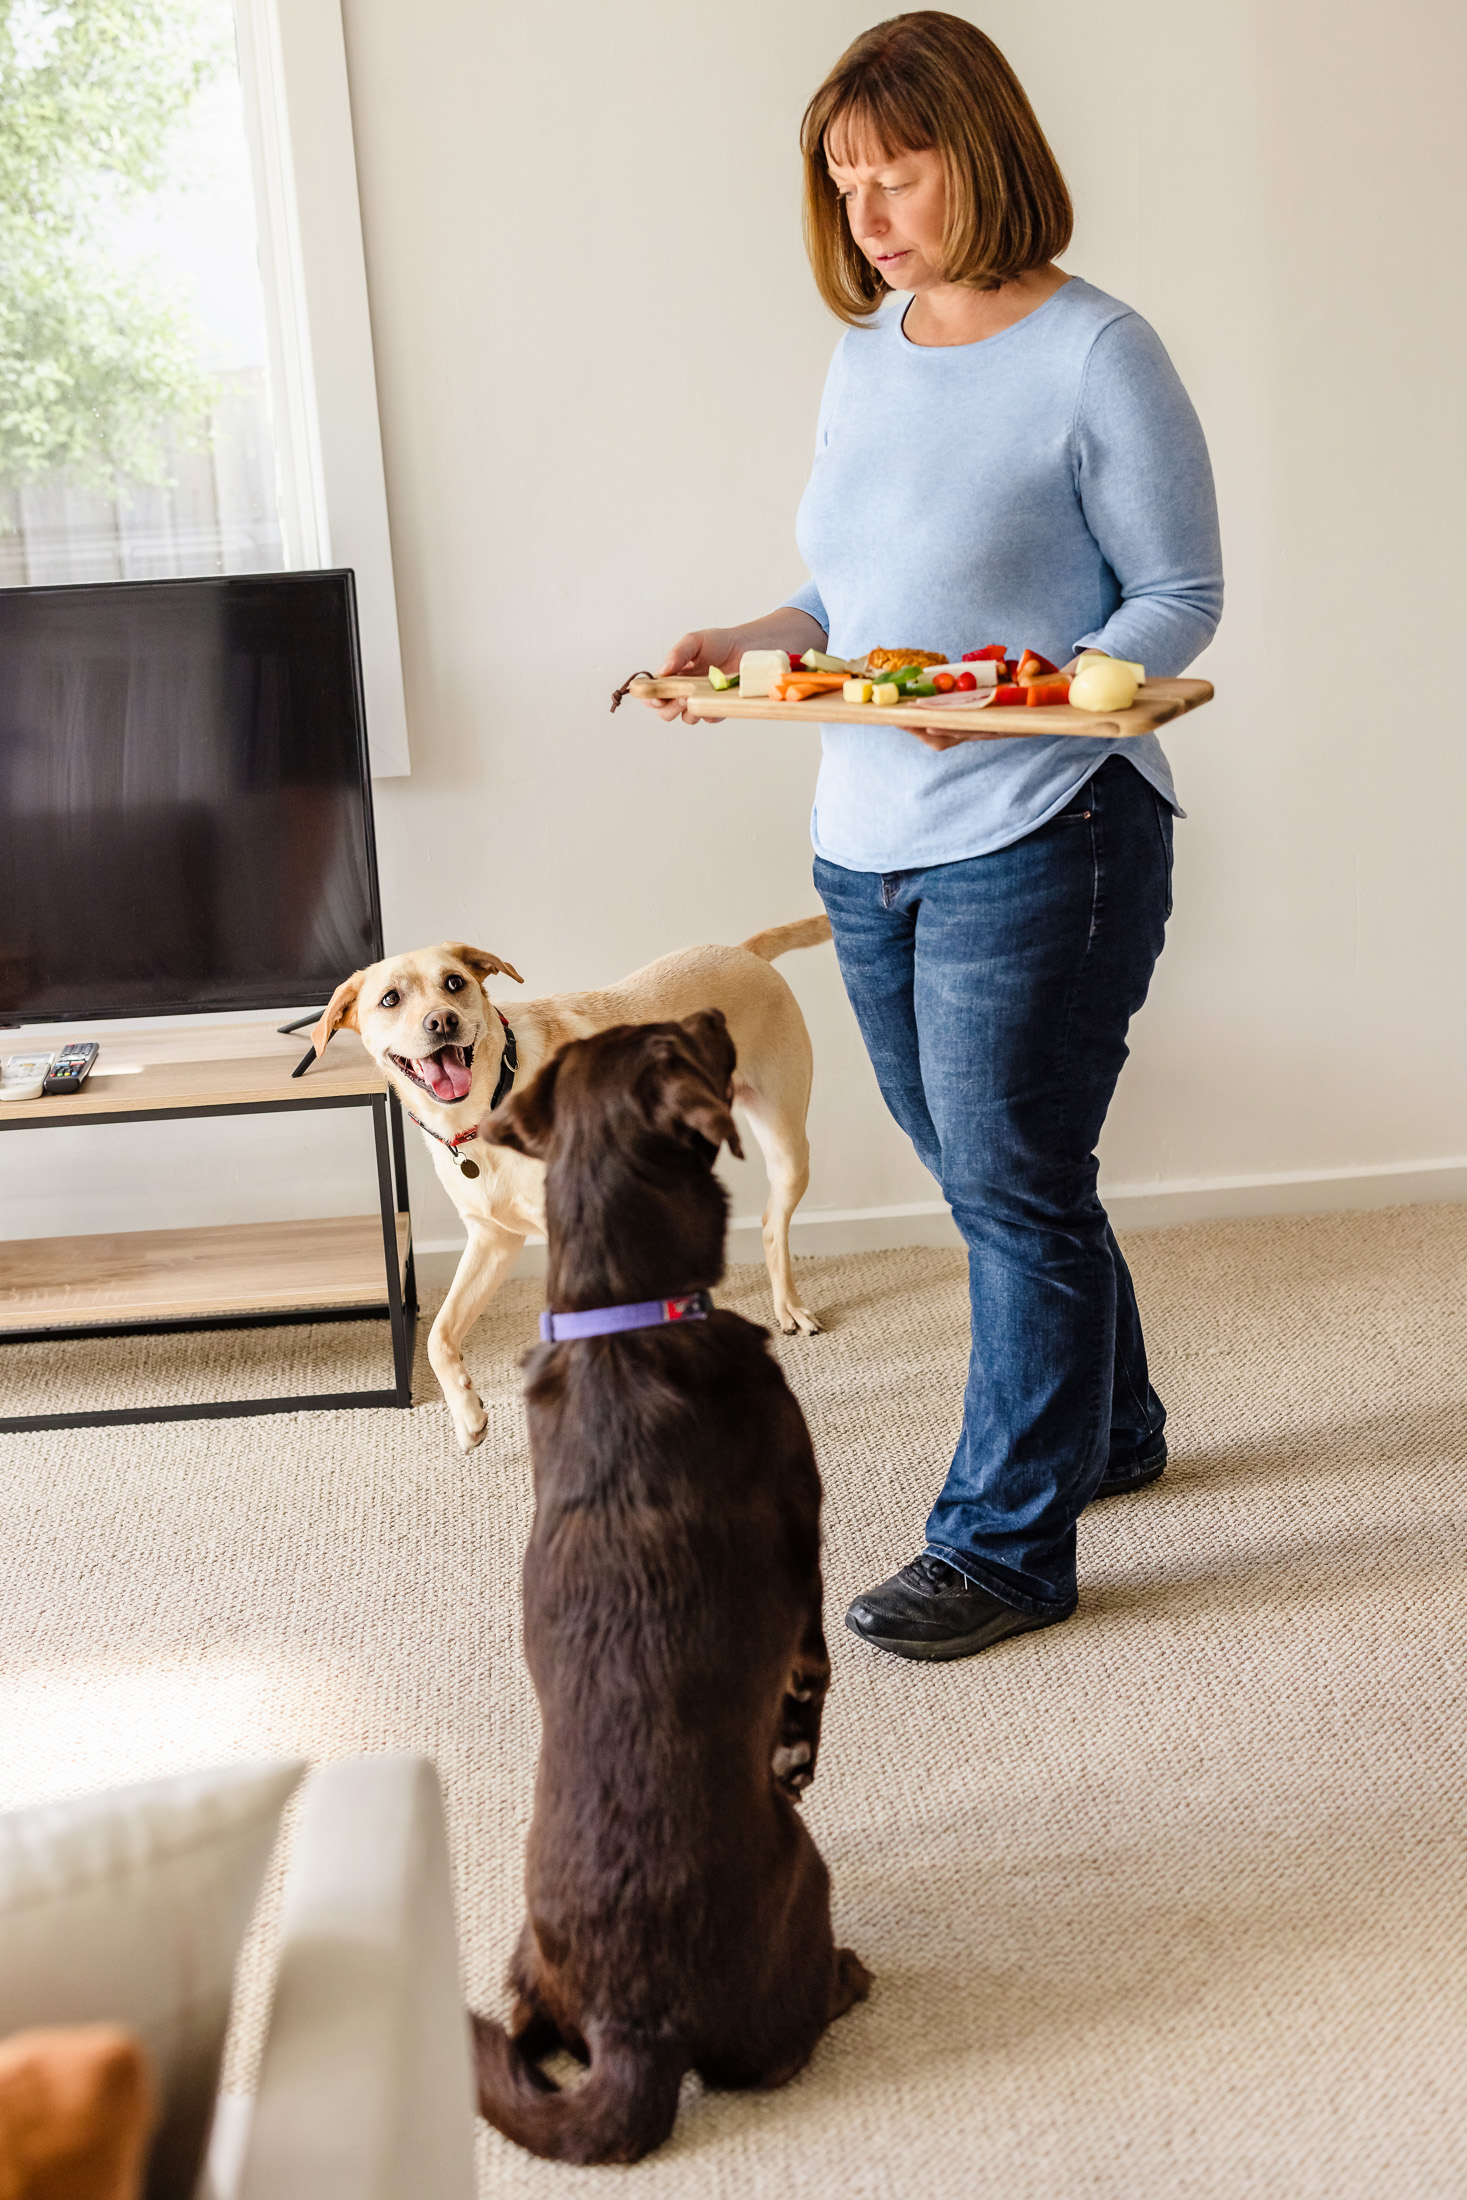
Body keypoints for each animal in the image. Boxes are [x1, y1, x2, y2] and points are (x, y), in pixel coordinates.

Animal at [470, 1012, 870, 2164]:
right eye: (671, 1038)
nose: (716, 1016)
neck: (621, 1312)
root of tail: (631, 2024)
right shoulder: (803, 1545)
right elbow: (811, 1673)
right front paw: (794, 1751)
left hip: (526, 1965)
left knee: (522, 2034)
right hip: (804, 1882)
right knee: (777, 2050)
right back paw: (848, 1978)